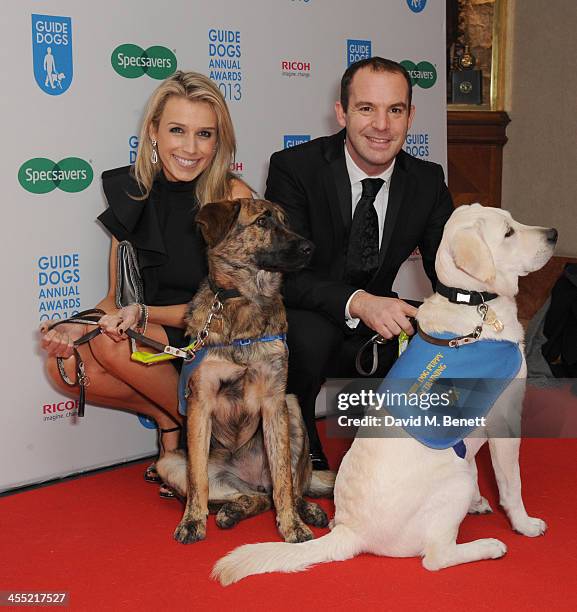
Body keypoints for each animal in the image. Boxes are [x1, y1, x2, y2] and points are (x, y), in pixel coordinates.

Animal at [155, 198, 332, 544]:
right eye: (262, 222)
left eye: (286, 222)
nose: (311, 247)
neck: (245, 300)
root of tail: (251, 479)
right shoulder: (200, 404)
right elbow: (197, 479)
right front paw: (192, 521)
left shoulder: (275, 401)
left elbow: (284, 482)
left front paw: (292, 526)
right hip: (168, 462)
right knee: (252, 497)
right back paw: (231, 511)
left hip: (292, 408)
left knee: (288, 488)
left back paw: (306, 509)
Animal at [214, 204, 556, 584]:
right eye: (508, 232)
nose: (554, 234)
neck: (473, 306)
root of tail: (351, 530)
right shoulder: (506, 422)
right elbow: (511, 484)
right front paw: (524, 524)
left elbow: (478, 461)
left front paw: (481, 502)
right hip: (455, 480)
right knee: (436, 557)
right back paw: (488, 547)